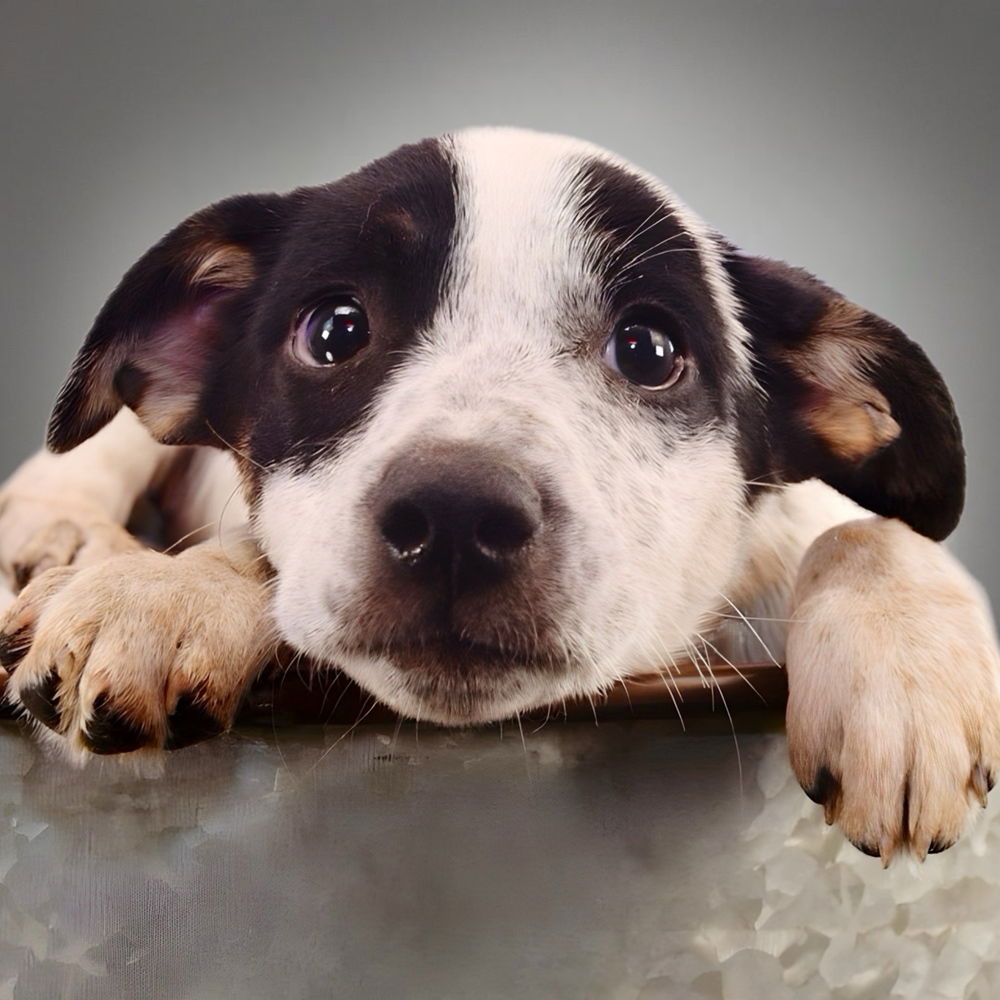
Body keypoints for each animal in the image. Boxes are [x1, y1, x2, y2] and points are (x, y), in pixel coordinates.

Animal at [1, 125, 1000, 860]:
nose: (455, 518)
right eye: (334, 331)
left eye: (649, 350)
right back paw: (60, 533)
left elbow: (869, 529)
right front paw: (163, 590)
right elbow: (252, 544)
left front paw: (901, 677)